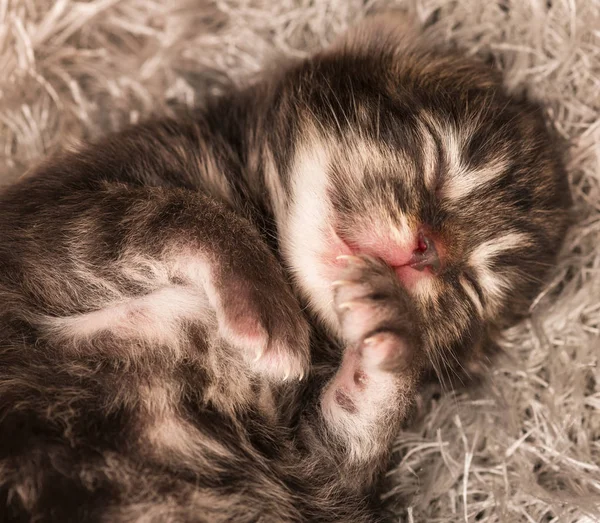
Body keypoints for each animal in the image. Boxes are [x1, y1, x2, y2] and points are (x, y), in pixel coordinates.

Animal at [0, 14, 572, 520]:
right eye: (435, 160)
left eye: (471, 286)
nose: (422, 255)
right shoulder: (39, 227)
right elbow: (171, 212)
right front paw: (267, 306)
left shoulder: (310, 476)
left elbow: (354, 439)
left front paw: (392, 327)